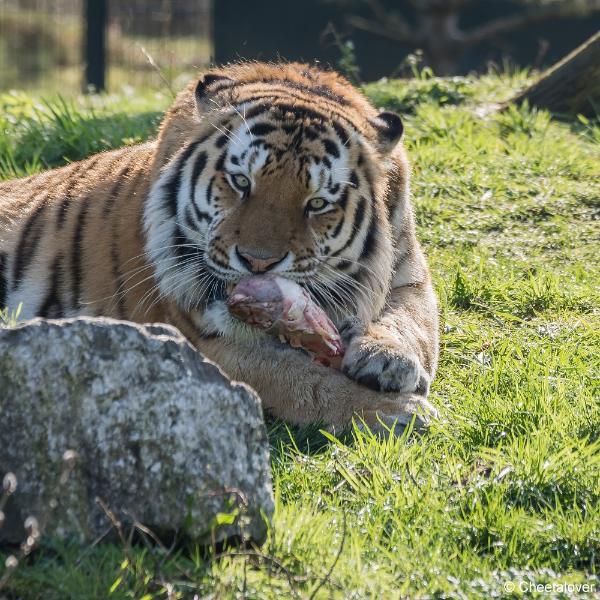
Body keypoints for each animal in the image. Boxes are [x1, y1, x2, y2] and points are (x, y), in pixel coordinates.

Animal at [1, 62, 440, 432]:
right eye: (241, 182)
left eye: (316, 204)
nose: (257, 263)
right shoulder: (205, 339)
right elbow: (308, 382)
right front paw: (398, 410)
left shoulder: (412, 275)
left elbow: (411, 321)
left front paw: (388, 360)